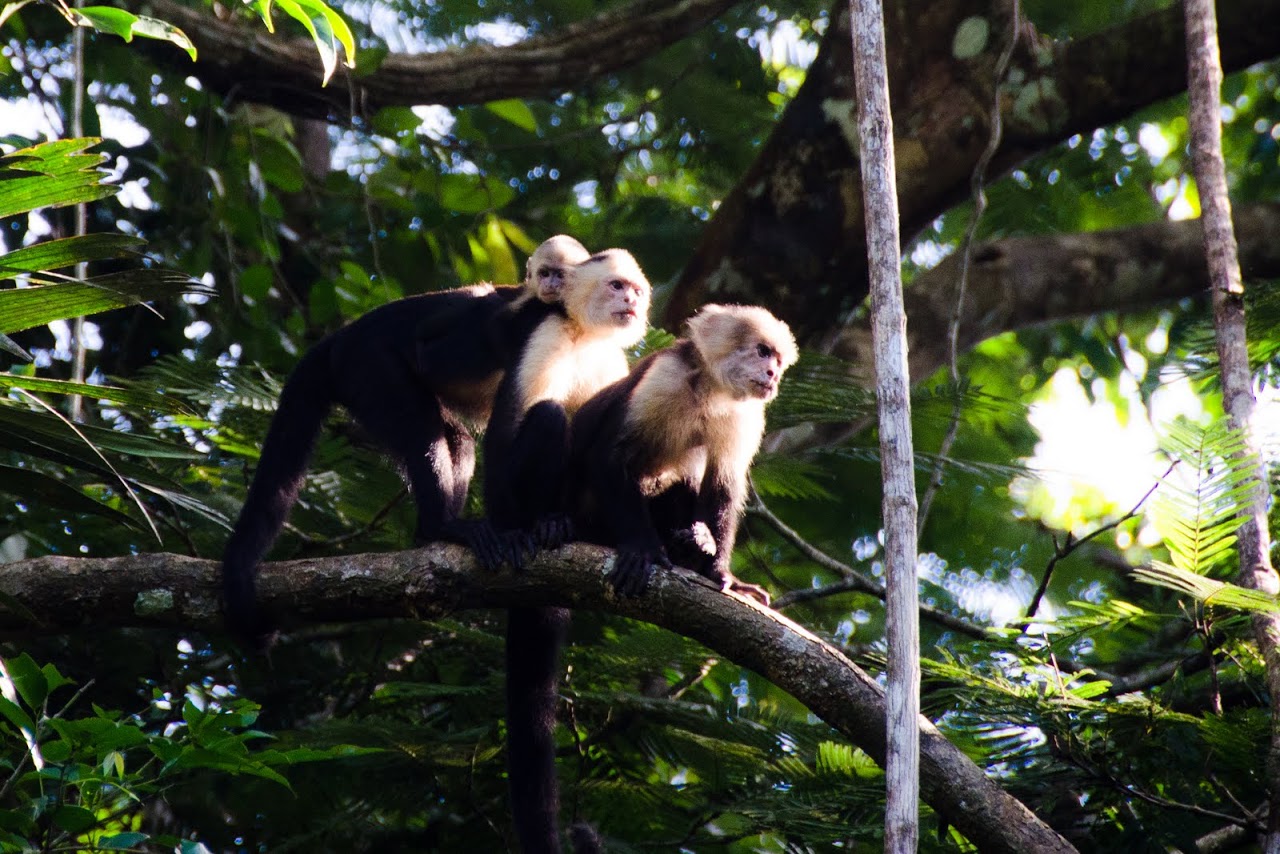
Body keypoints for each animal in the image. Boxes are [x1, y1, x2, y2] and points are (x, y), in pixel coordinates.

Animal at [483, 247, 655, 854]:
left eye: (636, 290)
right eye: (618, 285)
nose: (632, 302)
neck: (587, 334)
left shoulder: (615, 362)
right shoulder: (548, 334)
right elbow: (519, 420)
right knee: (549, 417)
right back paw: (540, 525)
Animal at [568, 303, 793, 604]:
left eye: (779, 361)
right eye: (763, 351)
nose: (773, 374)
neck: (711, 391)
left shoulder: (743, 413)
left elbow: (723, 484)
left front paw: (717, 572)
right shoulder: (666, 374)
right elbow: (610, 454)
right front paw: (643, 548)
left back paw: (693, 548)